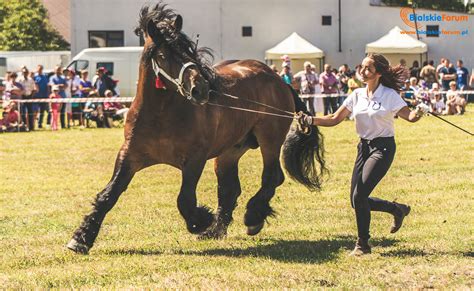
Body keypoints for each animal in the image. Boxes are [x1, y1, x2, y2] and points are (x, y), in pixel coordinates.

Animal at [66, 4, 326, 256]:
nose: (199, 88)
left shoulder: (194, 159)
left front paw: (201, 220)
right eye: (163, 55)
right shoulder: (129, 156)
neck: (160, 115)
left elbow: (185, 199)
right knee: (230, 189)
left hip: (269, 139)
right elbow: (108, 195)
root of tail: (278, 79)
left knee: (272, 176)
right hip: (230, 150)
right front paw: (81, 238)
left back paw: (253, 217)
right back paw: (216, 230)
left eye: (190, 51)